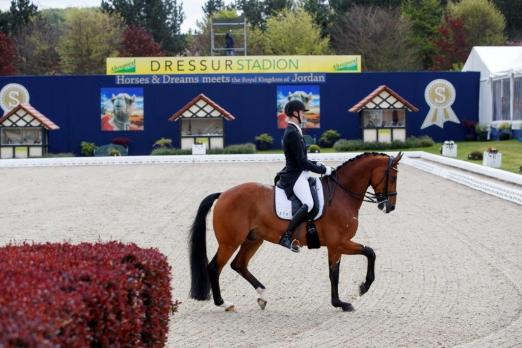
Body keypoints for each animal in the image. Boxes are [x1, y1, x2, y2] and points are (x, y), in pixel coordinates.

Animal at [188, 151, 402, 312]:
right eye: (393, 176)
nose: (390, 206)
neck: (342, 194)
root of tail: (223, 194)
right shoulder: (338, 243)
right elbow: (366, 255)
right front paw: (357, 292)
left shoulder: (336, 246)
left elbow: (339, 270)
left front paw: (342, 301)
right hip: (230, 242)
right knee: (214, 267)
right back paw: (224, 303)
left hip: (253, 239)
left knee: (239, 265)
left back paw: (263, 295)